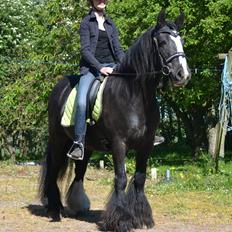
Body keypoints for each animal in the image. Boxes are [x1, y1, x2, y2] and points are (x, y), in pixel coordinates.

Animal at [39, 9, 190, 232]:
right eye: (162, 42)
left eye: (181, 41)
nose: (183, 75)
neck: (134, 95)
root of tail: (59, 87)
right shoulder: (119, 144)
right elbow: (121, 179)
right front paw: (120, 220)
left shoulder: (146, 145)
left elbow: (139, 178)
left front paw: (142, 217)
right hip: (58, 139)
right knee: (53, 170)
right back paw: (54, 209)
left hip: (86, 145)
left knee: (79, 171)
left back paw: (77, 206)